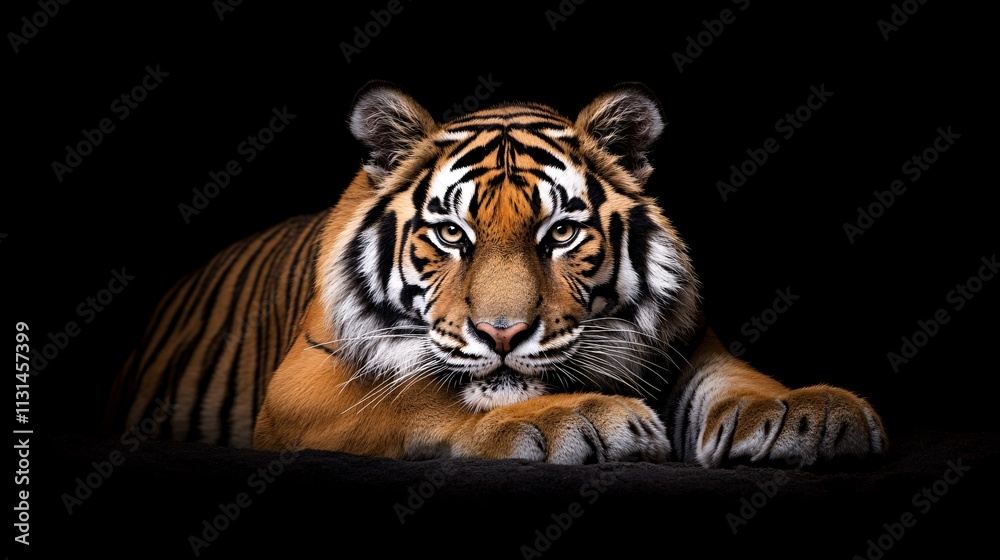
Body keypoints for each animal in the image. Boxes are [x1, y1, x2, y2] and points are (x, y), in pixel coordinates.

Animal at [106, 81, 886, 467]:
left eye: (561, 233)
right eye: (452, 234)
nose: (503, 333)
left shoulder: (689, 345)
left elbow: (741, 382)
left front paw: (811, 413)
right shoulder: (306, 382)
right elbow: (421, 398)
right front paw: (579, 417)